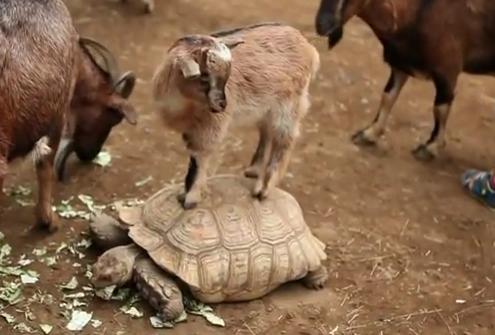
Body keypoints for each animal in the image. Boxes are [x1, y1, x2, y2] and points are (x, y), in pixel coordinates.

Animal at [153, 23, 320, 207]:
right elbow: (193, 159)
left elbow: (200, 159)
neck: (185, 104)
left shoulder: (210, 126)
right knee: (266, 131)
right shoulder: (191, 129)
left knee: (284, 139)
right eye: (203, 77)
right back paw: (254, 170)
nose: (222, 105)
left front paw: (191, 198)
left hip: (289, 104)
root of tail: (308, 46)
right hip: (267, 106)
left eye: (226, 76)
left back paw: (263, 189)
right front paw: (185, 193)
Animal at [316, 0, 495, 160]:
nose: (322, 25)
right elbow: (388, 97)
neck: (419, 12)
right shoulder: (400, 65)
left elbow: (440, 108)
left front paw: (430, 147)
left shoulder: (447, 70)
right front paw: (369, 133)